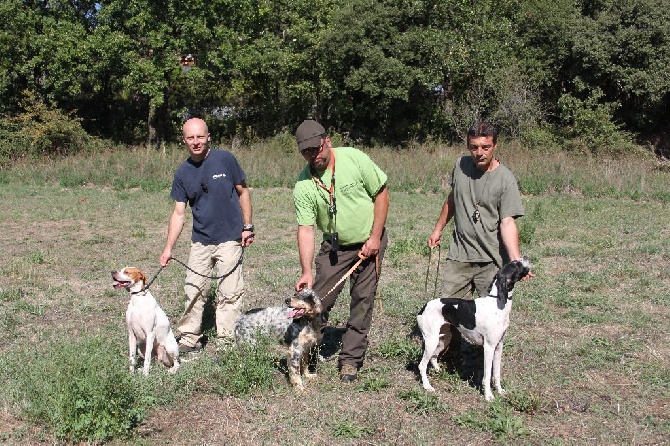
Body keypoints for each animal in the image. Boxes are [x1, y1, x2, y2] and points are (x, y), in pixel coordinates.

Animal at [418, 258, 532, 400]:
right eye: (516, 264)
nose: (526, 257)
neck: (497, 303)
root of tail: (424, 307)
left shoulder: (499, 346)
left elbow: (497, 373)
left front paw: (500, 391)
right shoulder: (488, 347)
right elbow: (487, 375)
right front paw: (488, 396)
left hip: (443, 339)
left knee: (433, 357)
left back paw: (439, 371)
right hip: (431, 342)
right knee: (422, 365)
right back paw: (427, 386)